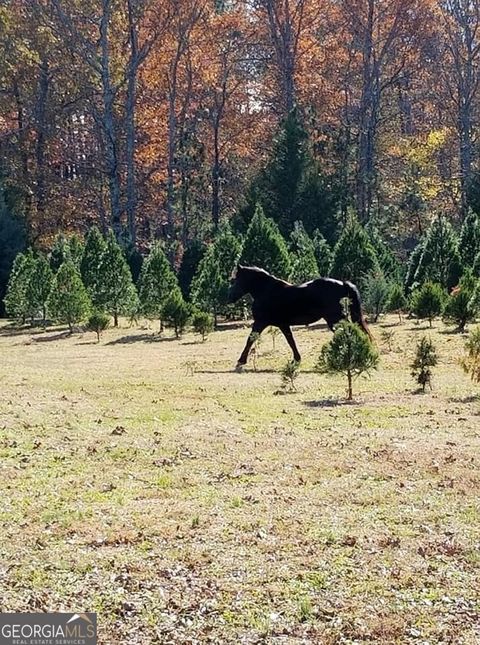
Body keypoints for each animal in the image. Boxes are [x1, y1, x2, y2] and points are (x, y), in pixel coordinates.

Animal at [227, 264, 370, 368]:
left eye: (236, 280)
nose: (230, 297)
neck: (266, 291)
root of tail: (342, 284)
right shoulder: (283, 324)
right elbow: (291, 341)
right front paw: (297, 359)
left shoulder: (261, 322)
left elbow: (250, 339)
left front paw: (241, 361)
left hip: (335, 319)